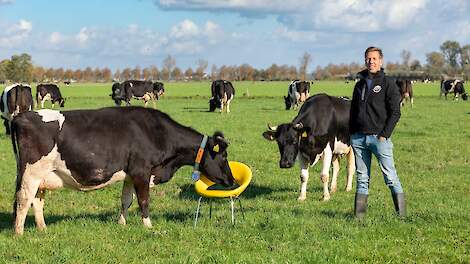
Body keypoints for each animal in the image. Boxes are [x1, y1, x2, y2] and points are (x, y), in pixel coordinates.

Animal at [11, 106, 235, 234]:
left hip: (42, 176)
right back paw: (19, 232)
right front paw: (148, 226)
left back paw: (42, 228)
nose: (232, 181)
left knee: (36, 201)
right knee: (23, 199)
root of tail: (21, 116)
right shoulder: (142, 171)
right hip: (31, 172)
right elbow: (144, 200)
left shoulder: (130, 174)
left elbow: (126, 200)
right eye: (224, 157)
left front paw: (122, 223)